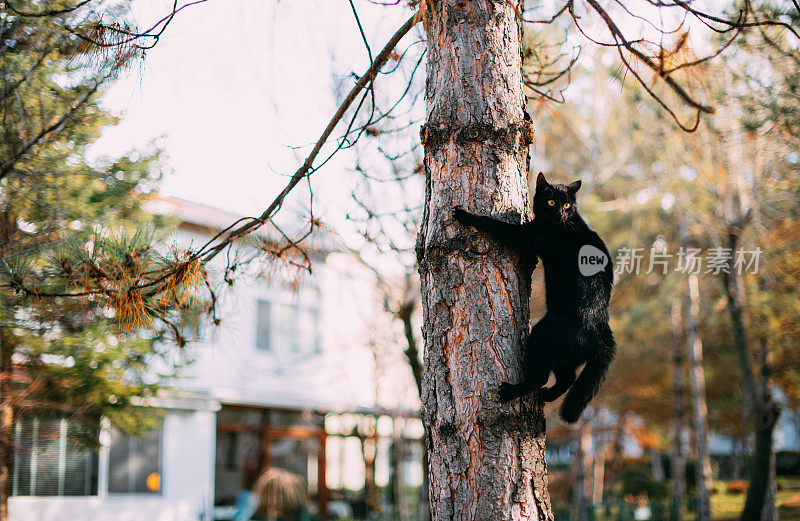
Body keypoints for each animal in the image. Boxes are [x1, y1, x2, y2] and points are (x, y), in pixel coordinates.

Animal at [454, 173, 616, 420]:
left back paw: (511, 391)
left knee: (540, 377)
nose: (560, 213)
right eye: (551, 202)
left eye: (566, 205)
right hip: (564, 355)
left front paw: (465, 214)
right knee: (567, 379)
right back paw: (547, 396)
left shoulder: (527, 236)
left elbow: (495, 224)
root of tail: (602, 330)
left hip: (542, 337)